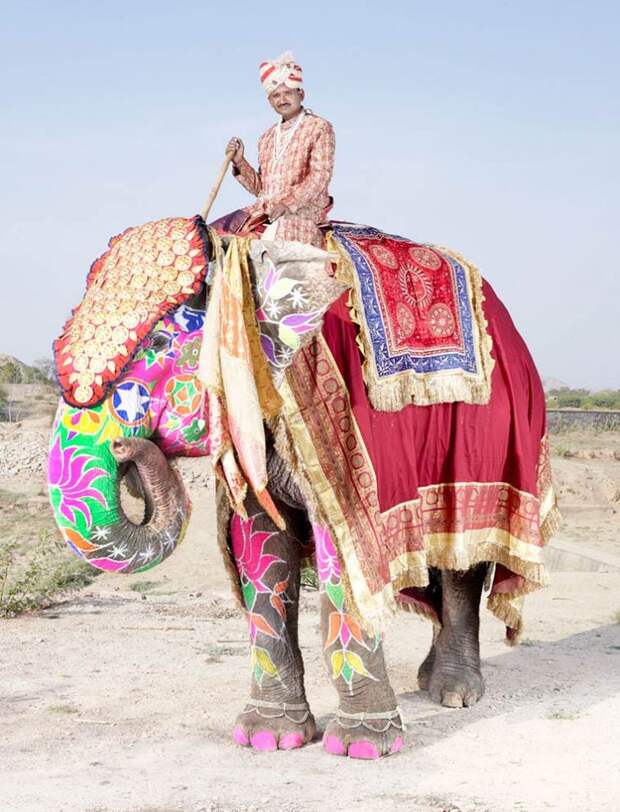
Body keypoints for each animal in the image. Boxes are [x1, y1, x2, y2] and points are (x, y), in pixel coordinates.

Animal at [47, 217, 556, 760]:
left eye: (160, 344)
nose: (127, 449)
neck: (242, 250)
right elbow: (259, 546)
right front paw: (268, 737)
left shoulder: (346, 435)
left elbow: (347, 547)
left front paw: (361, 747)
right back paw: (425, 682)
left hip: (493, 438)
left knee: (463, 555)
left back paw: (454, 694)